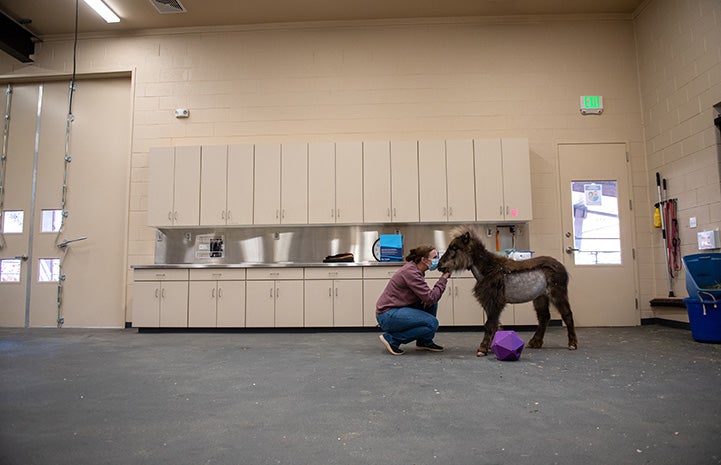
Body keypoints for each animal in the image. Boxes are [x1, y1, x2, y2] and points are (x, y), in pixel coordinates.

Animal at [436, 225, 576, 356]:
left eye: (454, 247)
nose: (439, 266)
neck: (489, 270)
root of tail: (561, 266)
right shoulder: (490, 304)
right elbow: (495, 324)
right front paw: (490, 347)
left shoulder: (495, 302)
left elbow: (490, 324)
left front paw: (482, 349)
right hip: (540, 297)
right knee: (544, 317)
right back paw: (535, 342)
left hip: (557, 295)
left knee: (567, 314)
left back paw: (572, 344)